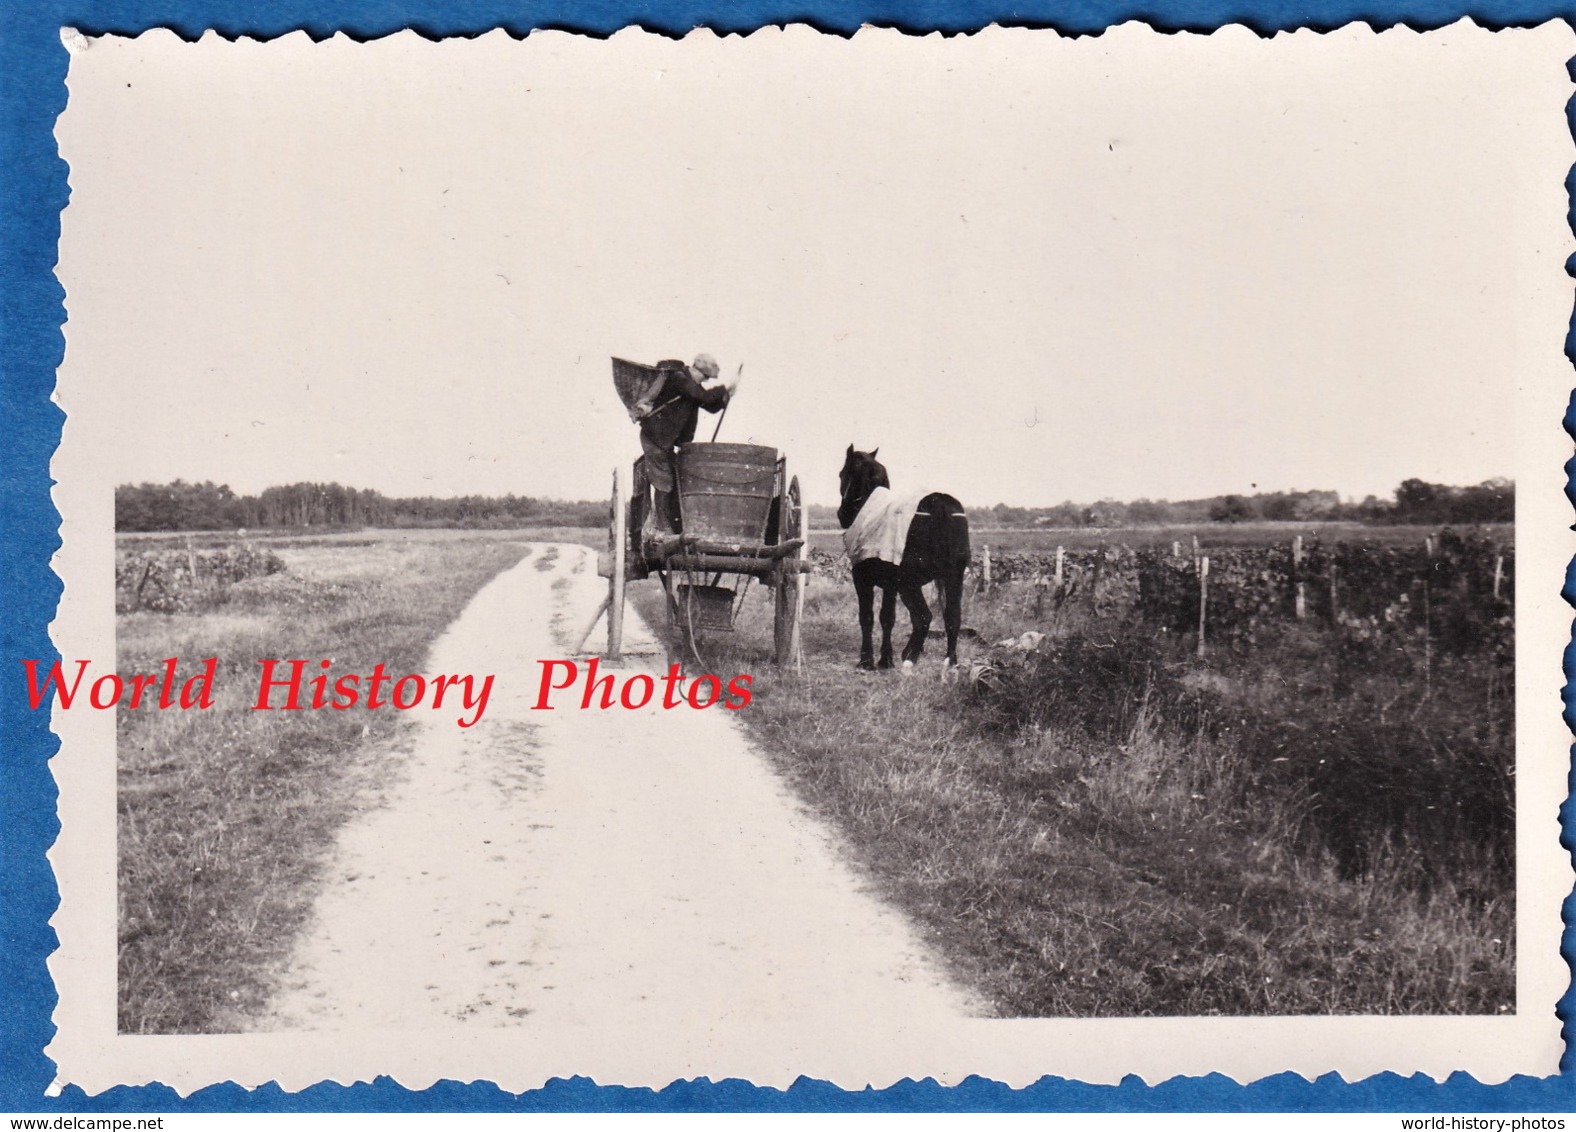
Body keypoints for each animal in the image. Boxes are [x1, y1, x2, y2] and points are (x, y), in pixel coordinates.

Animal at [838, 444, 970, 674]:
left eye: (842, 474)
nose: (841, 515)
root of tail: (942, 506)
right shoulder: (891, 584)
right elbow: (887, 618)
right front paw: (885, 659)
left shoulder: (862, 578)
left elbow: (868, 617)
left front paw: (867, 660)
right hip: (952, 577)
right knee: (952, 616)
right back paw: (950, 660)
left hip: (910, 583)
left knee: (924, 617)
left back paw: (909, 657)